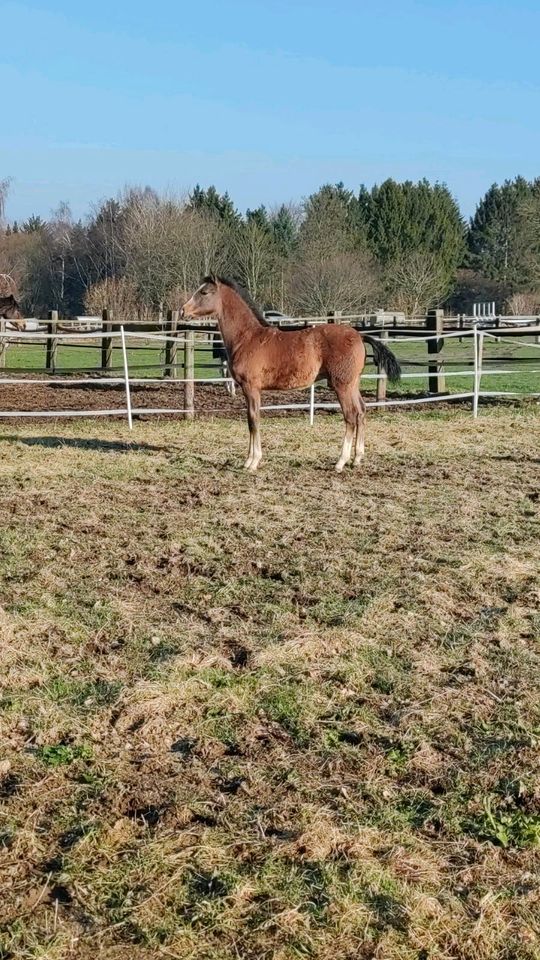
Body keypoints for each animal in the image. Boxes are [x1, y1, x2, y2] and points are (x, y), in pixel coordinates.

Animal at [181, 278, 400, 472]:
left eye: (204, 292)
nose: (183, 310)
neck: (247, 338)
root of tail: (359, 335)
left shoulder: (251, 387)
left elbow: (253, 420)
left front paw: (252, 462)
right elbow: (250, 420)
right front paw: (248, 460)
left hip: (342, 386)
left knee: (351, 417)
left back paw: (340, 462)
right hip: (353, 384)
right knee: (362, 411)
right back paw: (357, 459)